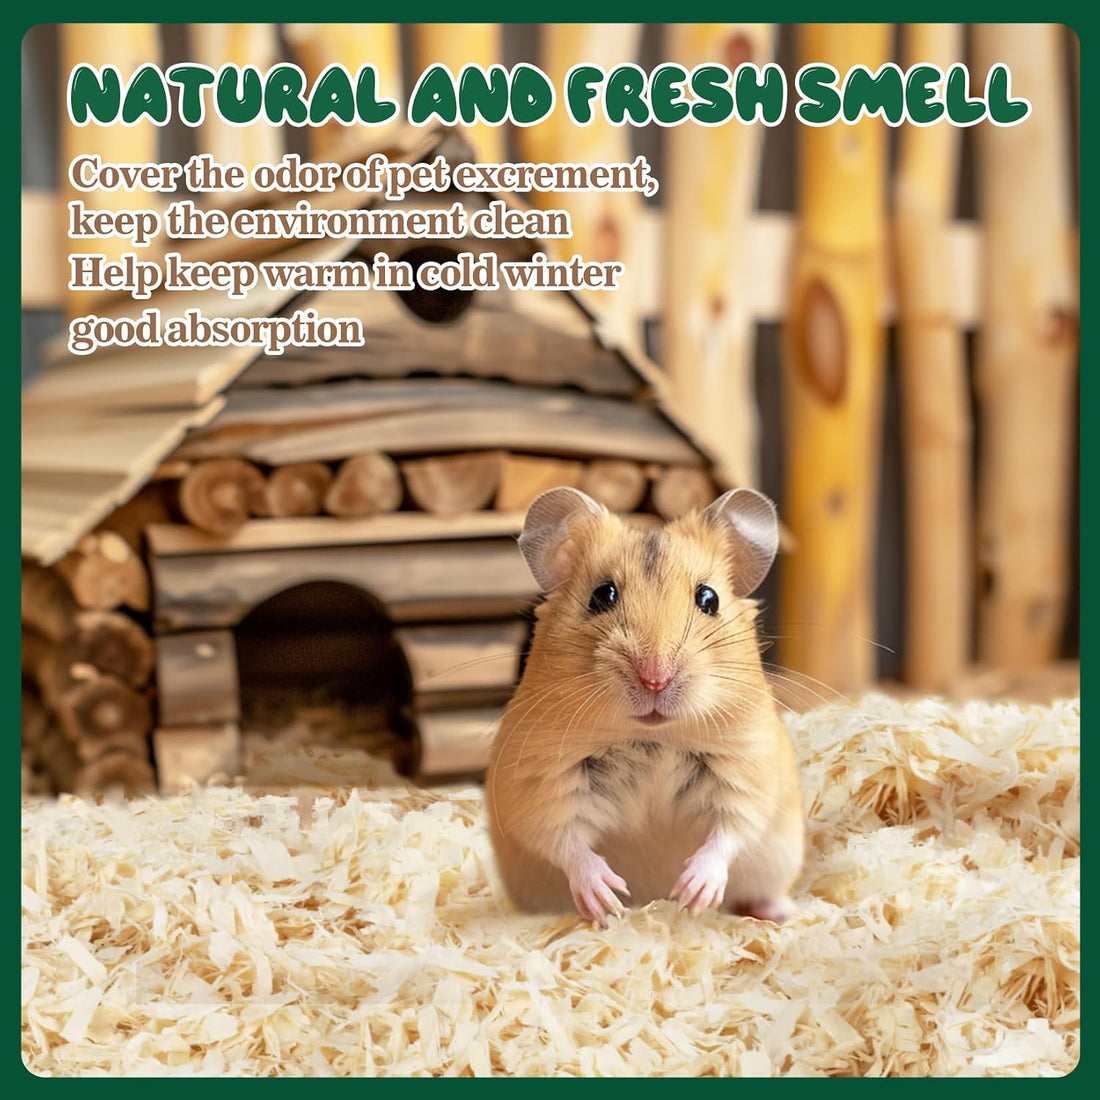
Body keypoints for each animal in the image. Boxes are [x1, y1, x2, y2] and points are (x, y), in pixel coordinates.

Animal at [486, 486, 804, 927]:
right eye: (602, 595)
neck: (650, 736)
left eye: (708, 598)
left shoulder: (749, 770)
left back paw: (781, 913)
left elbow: (731, 829)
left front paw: (691, 893)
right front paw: (608, 899)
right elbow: (565, 840)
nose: (655, 678)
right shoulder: (539, 781)